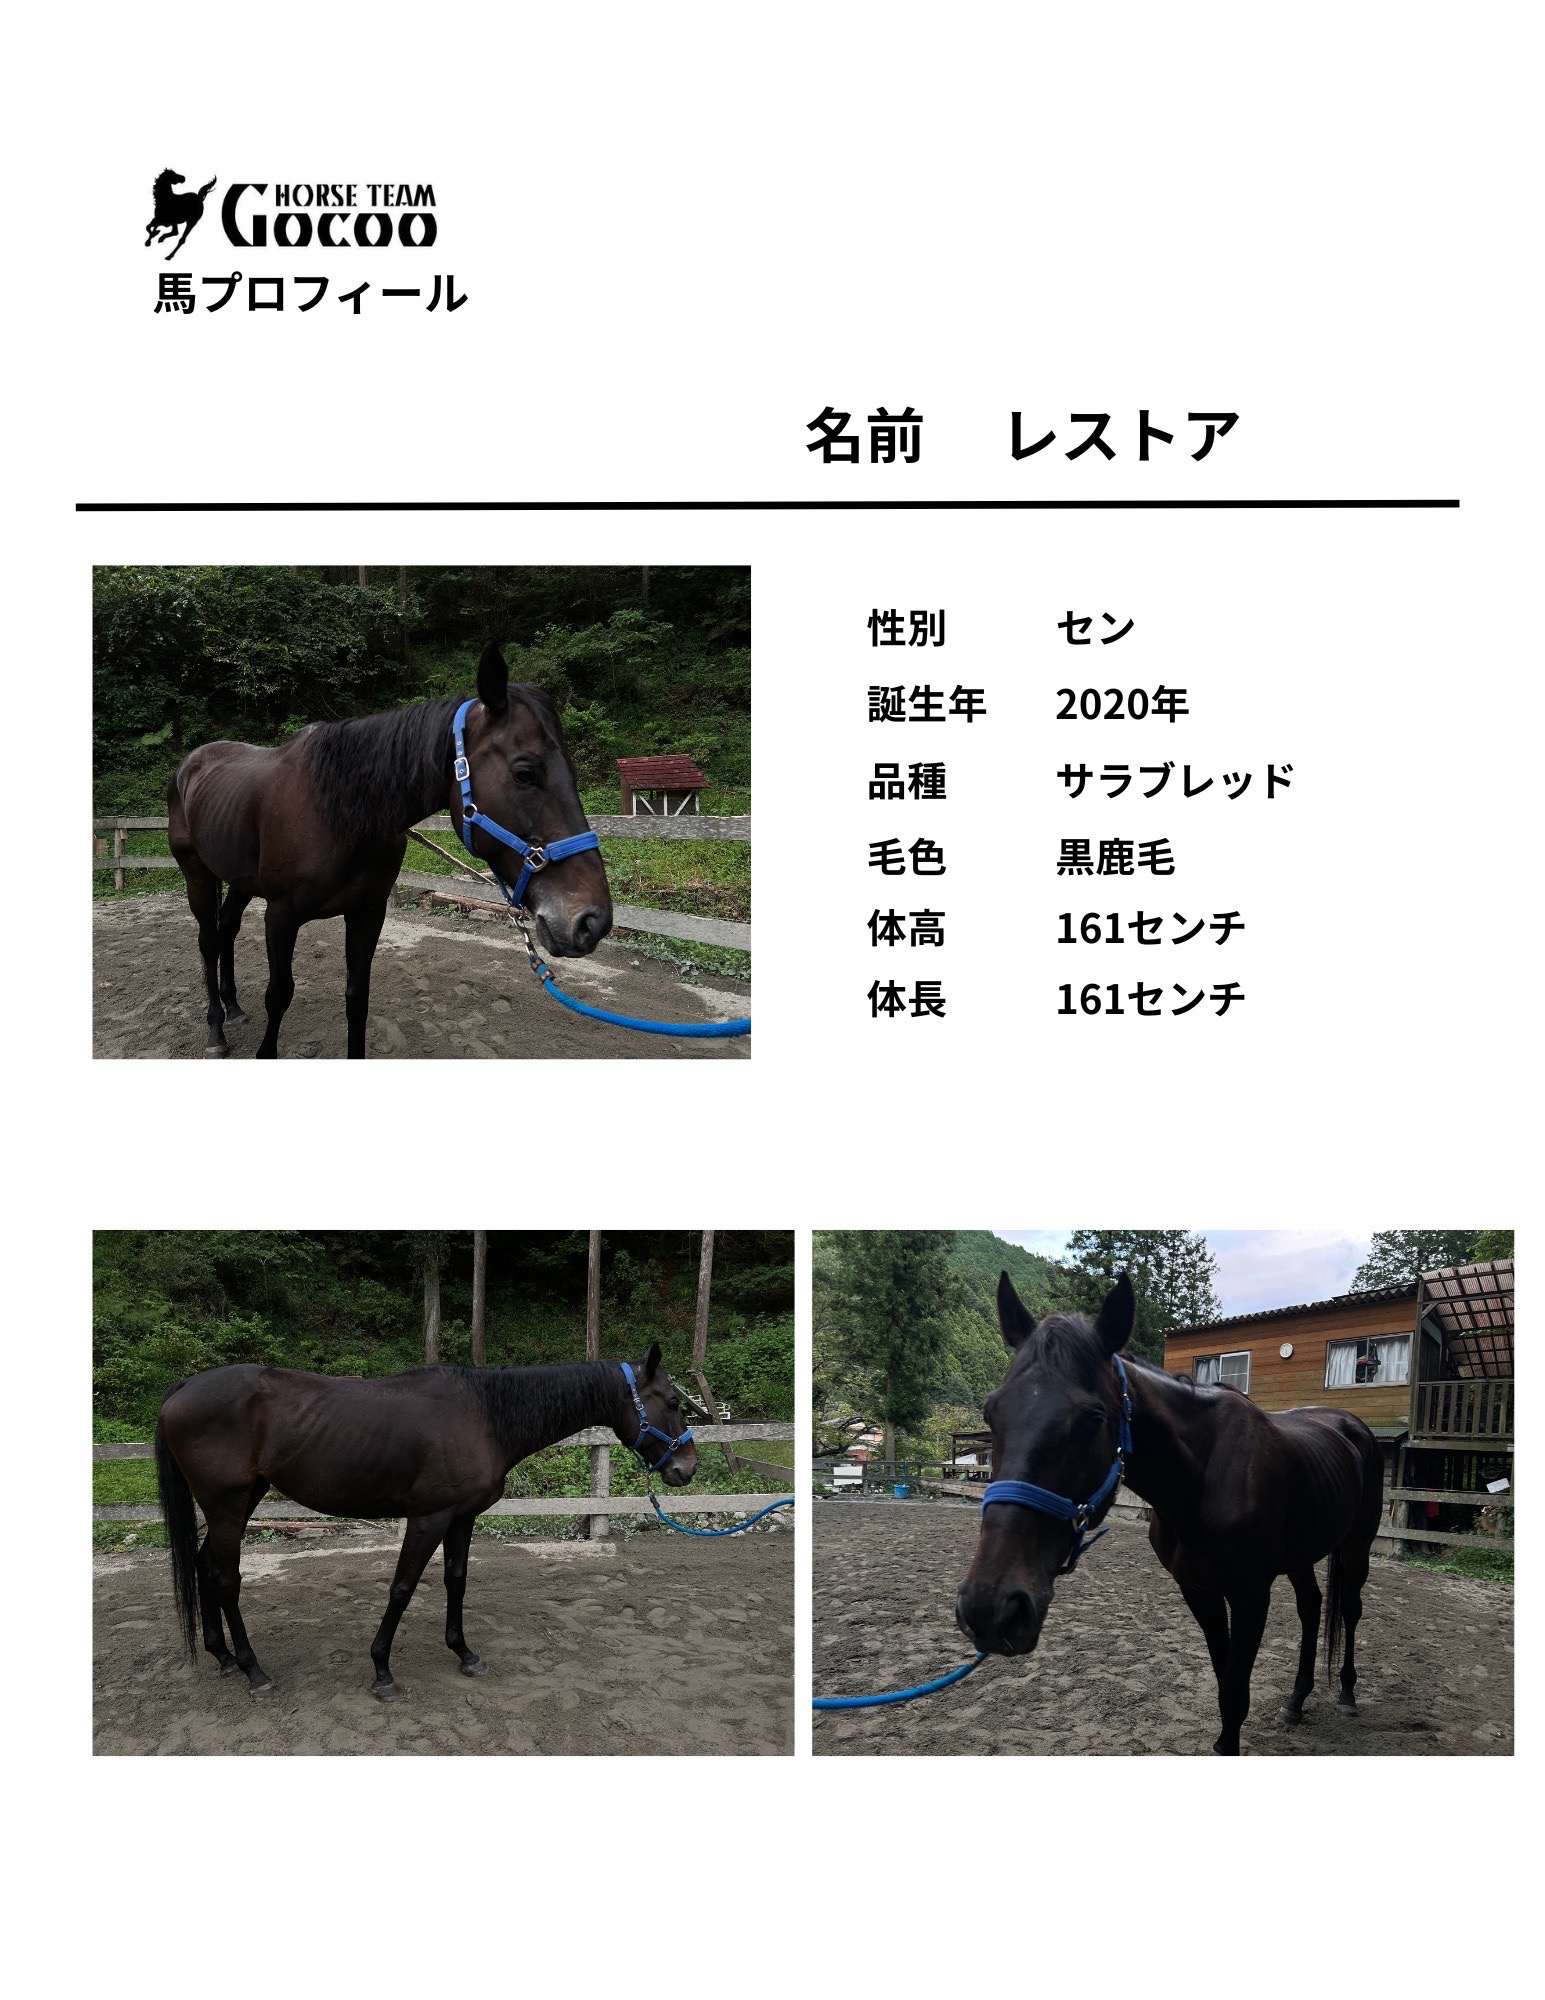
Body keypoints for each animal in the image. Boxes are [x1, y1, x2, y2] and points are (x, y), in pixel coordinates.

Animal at [153, 1343, 697, 1701]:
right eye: (672, 1402)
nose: (685, 1469)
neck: (484, 1415)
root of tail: (182, 1388)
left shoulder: (460, 1518)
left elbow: (455, 1579)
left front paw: (464, 1654)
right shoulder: (428, 1518)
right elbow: (403, 1587)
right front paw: (382, 1671)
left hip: (242, 1501)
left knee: (204, 1565)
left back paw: (223, 1657)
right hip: (227, 1505)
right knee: (226, 1578)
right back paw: (253, 1670)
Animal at [166, 643, 612, 1057]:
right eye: (524, 773)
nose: (593, 921)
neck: (338, 813)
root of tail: (190, 764)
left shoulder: (368, 911)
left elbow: (357, 998)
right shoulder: (280, 915)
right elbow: (279, 995)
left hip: (239, 881)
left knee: (227, 929)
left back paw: (234, 1009)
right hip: (198, 874)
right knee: (209, 940)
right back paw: (216, 1030)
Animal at [956, 1272, 1385, 1755]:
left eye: (1092, 1419)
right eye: (991, 1412)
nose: (989, 1607)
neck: (1203, 1483)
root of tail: (1352, 1427)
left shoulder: (1251, 1594)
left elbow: (1235, 1690)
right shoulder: (1197, 1590)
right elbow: (1224, 1678)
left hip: (1357, 1545)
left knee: (1349, 1609)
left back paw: (1347, 1694)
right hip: (1301, 1554)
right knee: (1311, 1608)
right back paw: (1296, 1700)